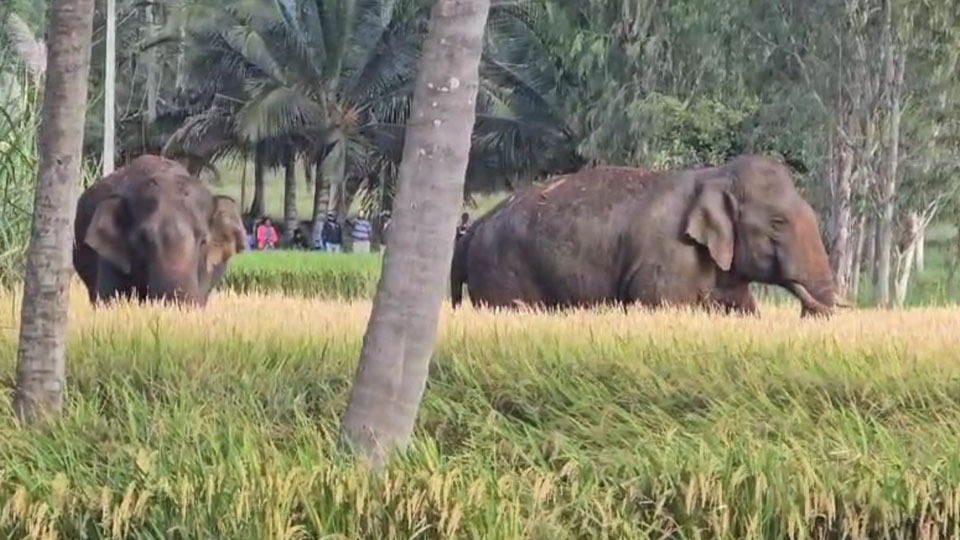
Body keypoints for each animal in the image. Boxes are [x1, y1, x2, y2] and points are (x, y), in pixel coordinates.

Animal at [450, 154, 840, 316]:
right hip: (501, 272)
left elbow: (741, 311)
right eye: (778, 222)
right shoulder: (668, 262)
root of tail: (474, 227)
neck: (714, 174)